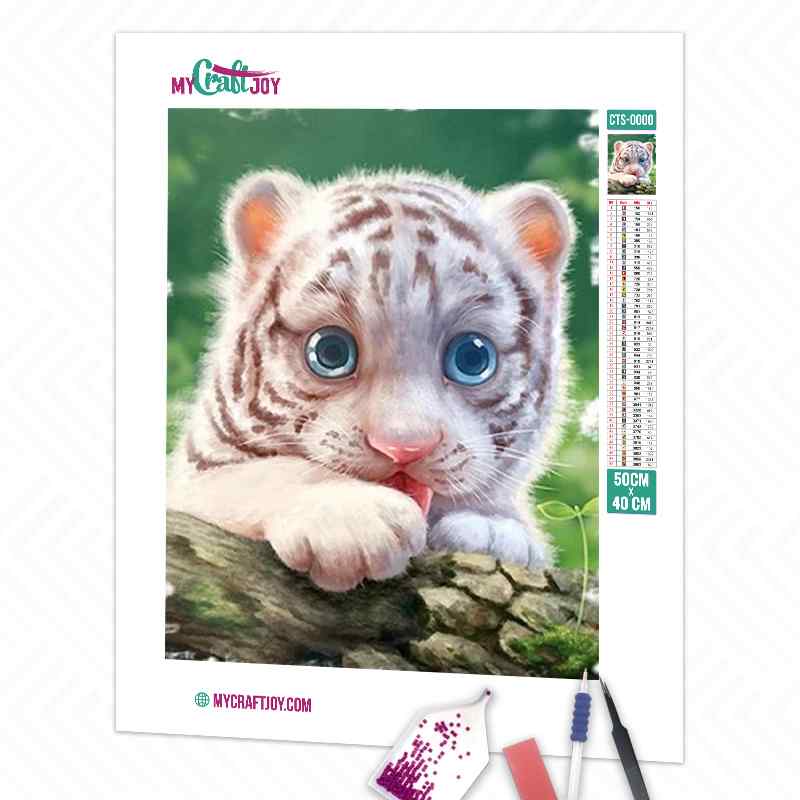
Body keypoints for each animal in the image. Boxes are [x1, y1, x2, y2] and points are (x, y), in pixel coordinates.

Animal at [167, 169, 574, 591]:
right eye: (330, 353)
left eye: (472, 357)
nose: (404, 449)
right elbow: (253, 476)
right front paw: (348, 517)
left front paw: (492, 528)